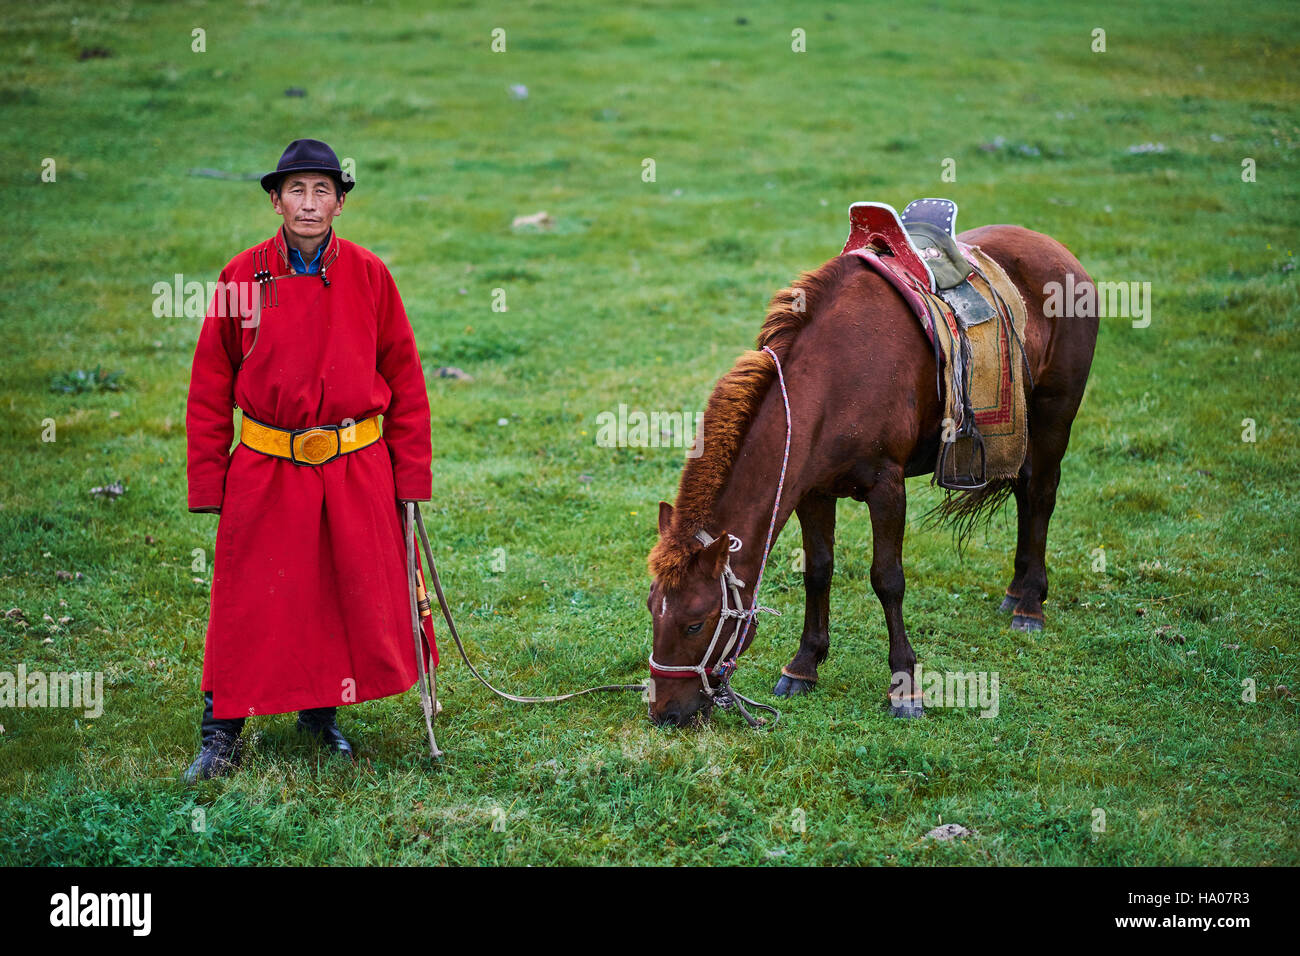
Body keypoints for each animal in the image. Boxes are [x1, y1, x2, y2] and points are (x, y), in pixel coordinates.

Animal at [644, 223, 1092, 723]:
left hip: (1054, 414)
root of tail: (1052, 247)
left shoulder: (887, 487)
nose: (662, 711)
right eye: (652, 608)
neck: (834, 379)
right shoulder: (811, 491)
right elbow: (818, 571)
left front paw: (905, 686)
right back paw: (1016, 592)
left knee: (1040, 496)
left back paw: (1030, 605)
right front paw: (803, 666)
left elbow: (887, 580)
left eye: (695, 622)